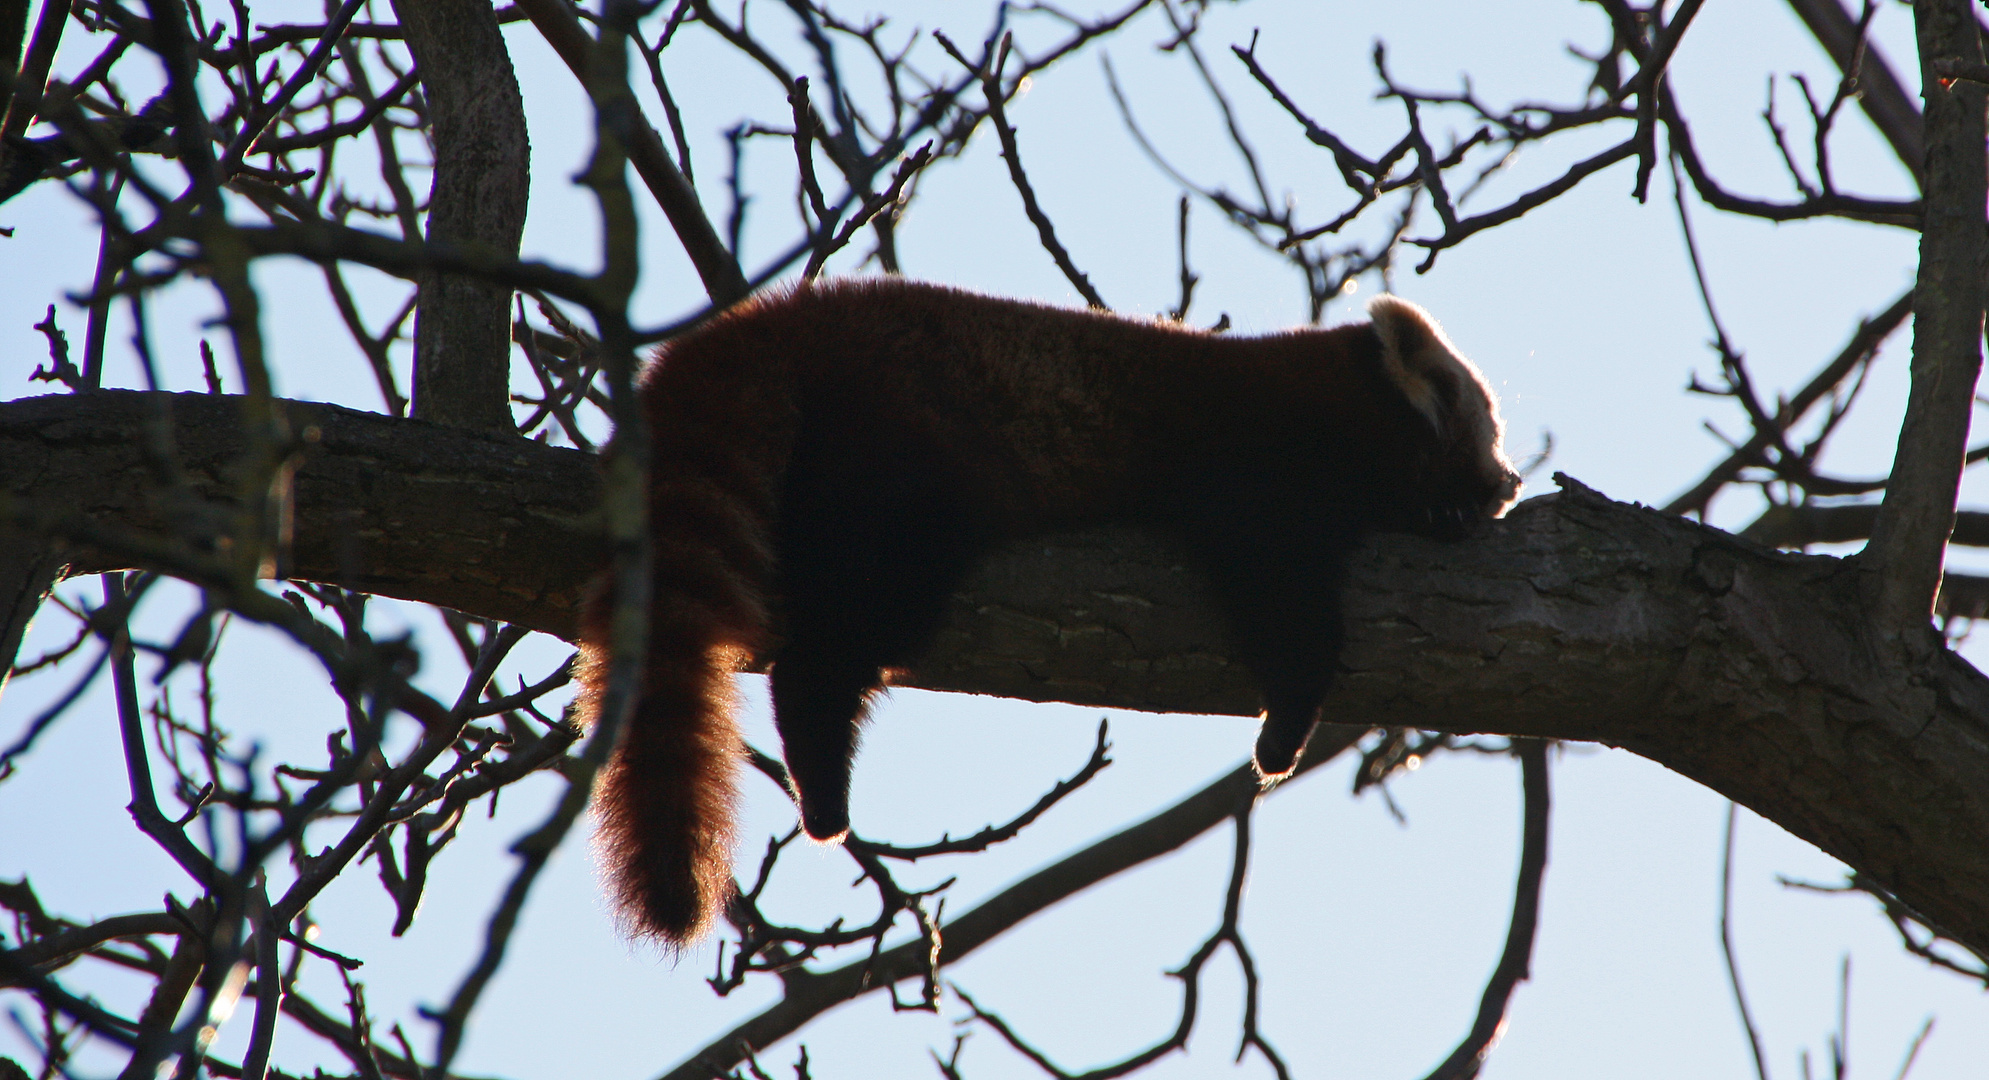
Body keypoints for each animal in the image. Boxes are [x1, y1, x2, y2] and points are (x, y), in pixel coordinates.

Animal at [580, 278, 1519, 946]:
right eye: (1487, 426)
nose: (1508, 482)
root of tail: (780, 317)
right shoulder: (1258, 463)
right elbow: (1278, 591)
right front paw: (1284, 728)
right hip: (907, 439)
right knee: (855, 622)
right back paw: (819, 760)